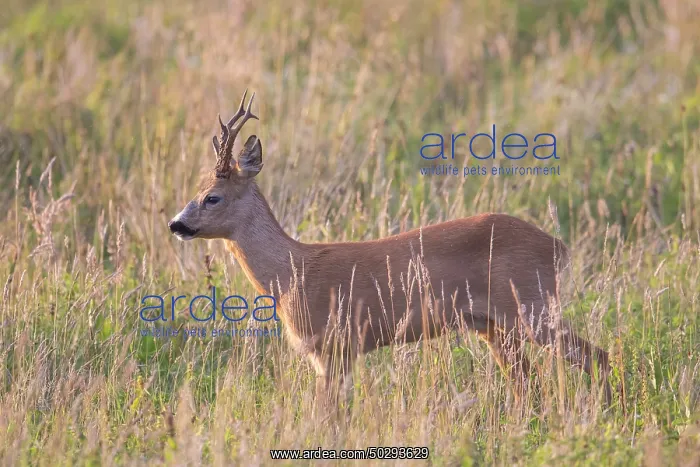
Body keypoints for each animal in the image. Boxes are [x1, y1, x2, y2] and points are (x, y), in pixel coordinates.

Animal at [168, 89, 613, 407]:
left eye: (212, 197)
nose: (176, 224)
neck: (292, 272)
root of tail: (558, 246)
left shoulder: (336, 345)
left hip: (532, 306)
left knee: (597, 356)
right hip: (493, 325)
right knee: (529, 383)